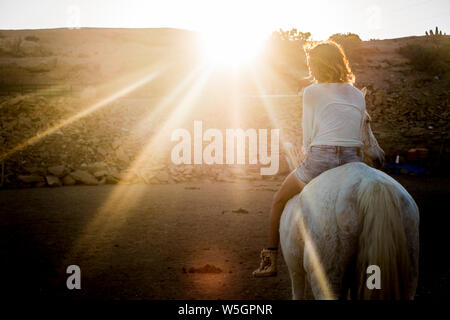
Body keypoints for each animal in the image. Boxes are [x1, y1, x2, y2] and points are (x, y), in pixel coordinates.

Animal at [282, 104, 418, 298]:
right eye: (367, 120)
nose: (380, 157)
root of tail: (372, 185)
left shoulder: (294, 267)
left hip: (326, 278)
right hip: (409, 276)